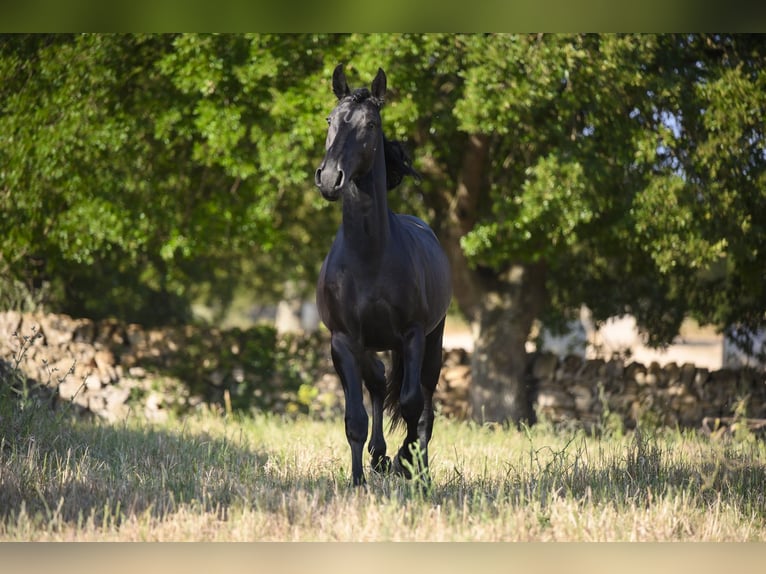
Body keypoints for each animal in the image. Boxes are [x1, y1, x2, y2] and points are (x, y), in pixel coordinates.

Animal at [314, 64, 452, 486]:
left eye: (371, 124)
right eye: (330, 120)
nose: (330, 178)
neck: (369, 257)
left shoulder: (412, 335)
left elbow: (411, 404)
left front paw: (408, 463)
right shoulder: (344, 341)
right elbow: (355, 418)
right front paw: (358, 479)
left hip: (433, 342)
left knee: (424, 403)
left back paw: (417, 467)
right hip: (371, 345)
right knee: (376, 382)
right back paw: (377, 456)